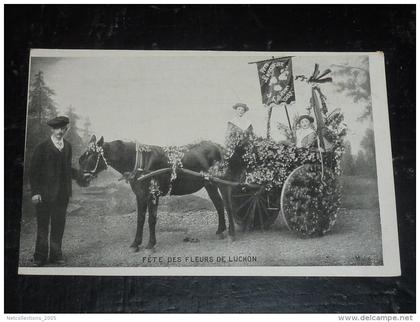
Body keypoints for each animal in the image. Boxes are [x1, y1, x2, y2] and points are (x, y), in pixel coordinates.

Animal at [79, 135, 236, 252]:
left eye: (90, 155)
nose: (81, 179)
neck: (141, 161)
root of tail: (219, 147)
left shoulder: (153, 194)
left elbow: (151, 219)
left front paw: (150, 244)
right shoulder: (140, 195)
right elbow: (140, 219)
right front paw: (136, 244)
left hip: (222, 183)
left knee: (228, 206)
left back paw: (232, 234)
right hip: (209, 184)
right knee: (219, 205)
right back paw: (220, 230)